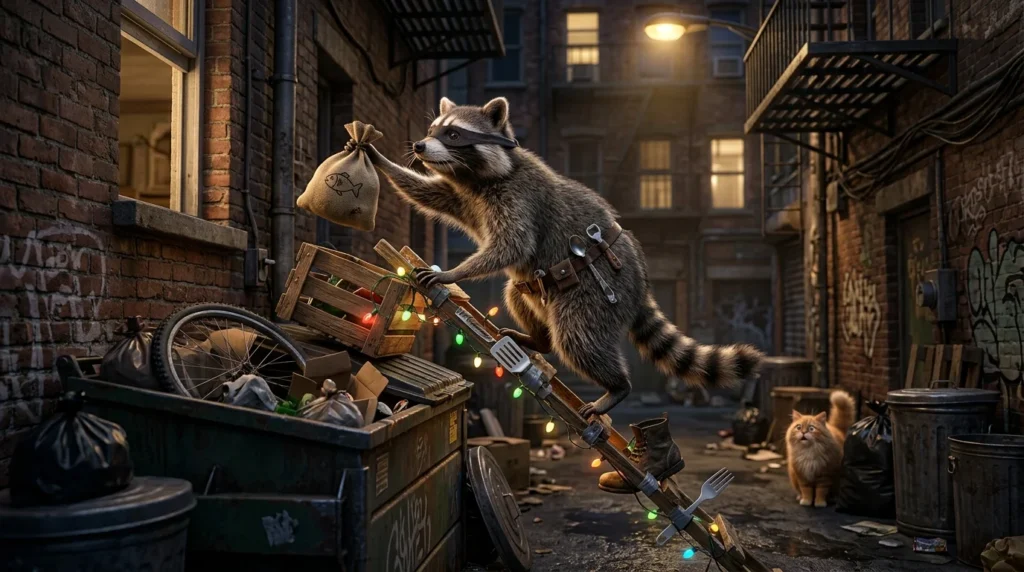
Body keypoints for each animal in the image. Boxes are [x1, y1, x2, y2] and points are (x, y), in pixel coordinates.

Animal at [363, 96, 763, 418]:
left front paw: (452, 273)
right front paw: (379, 160)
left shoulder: (519, 198)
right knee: (516, 293)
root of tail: (641, 279)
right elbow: (430, 195)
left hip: (598, 289)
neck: (479, 176)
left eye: (454, 135)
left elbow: (514, 245)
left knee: (577, 337)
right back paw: (538, 340)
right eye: (434, 129)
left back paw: (616, 386)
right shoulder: (465, 195)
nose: (419, 145)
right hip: (540, 290)